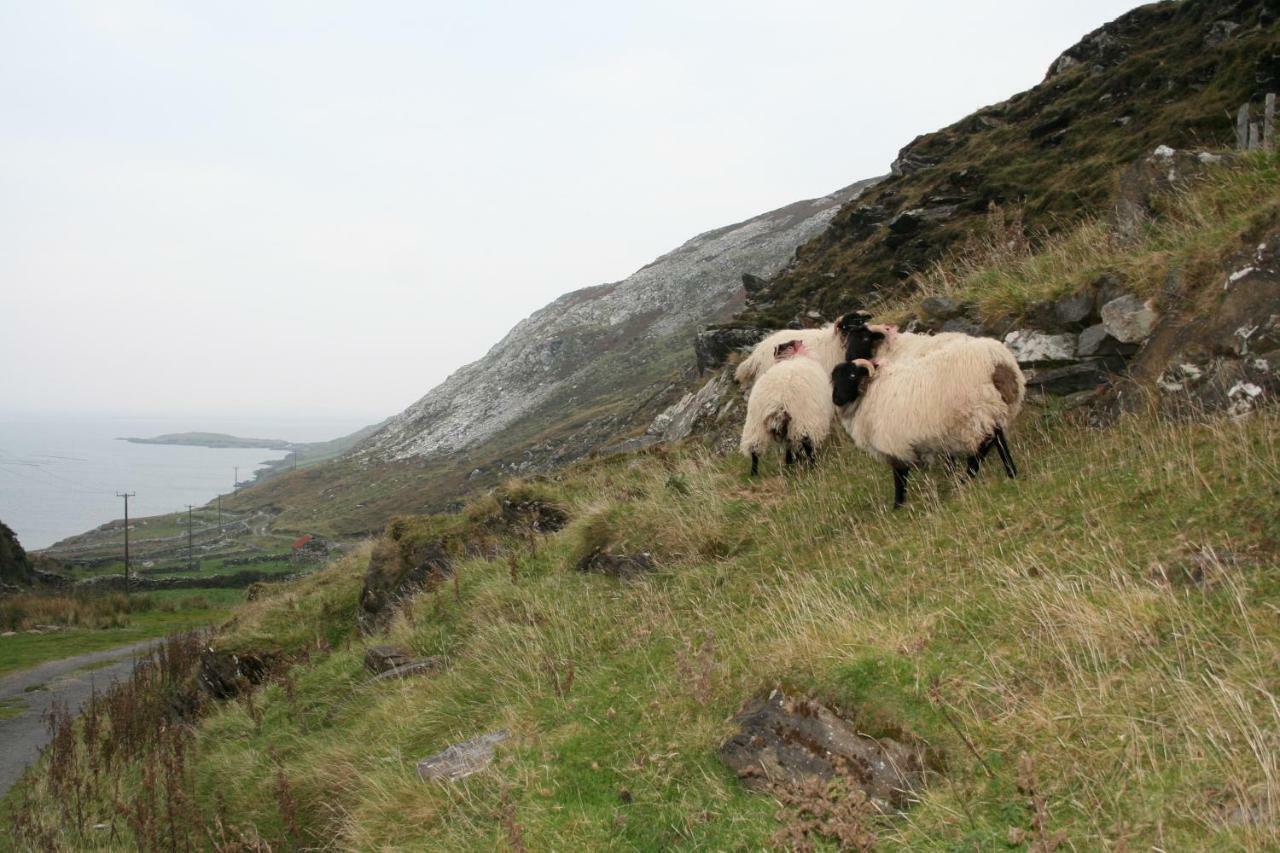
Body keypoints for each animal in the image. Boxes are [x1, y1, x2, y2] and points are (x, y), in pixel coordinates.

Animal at [737, 335, 834, 473]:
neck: (795, 357)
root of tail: (778, 400)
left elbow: (788, 447)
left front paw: (790, 463)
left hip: (755, 424)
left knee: (754, 450)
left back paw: (754, 473)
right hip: (804, 421)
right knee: (807, 444)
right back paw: (813, 466)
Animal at [834, 317, 1024, 504]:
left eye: (865, 338)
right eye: (848, 339)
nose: (849, 357)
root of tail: (996, 360)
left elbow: (900, 476)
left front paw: (899, 505)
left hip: (974, 414)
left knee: (983, 446)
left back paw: (965, 480)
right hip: (992, 409)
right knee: (997, 438)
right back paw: (1010, 472)